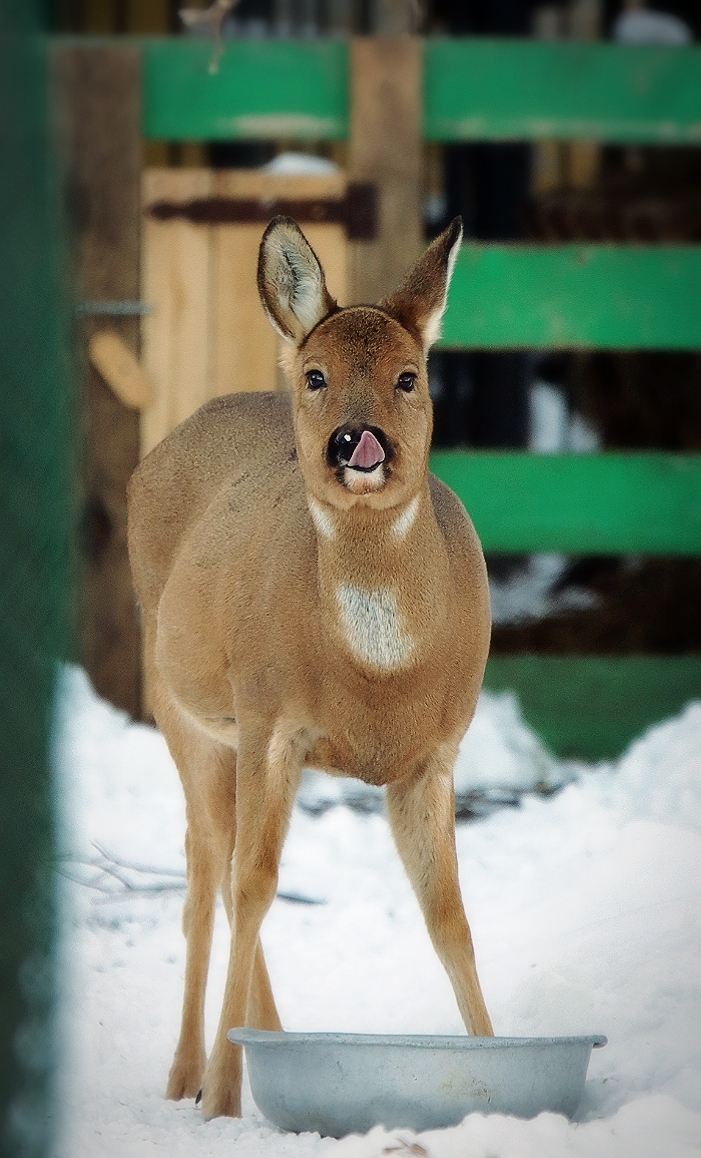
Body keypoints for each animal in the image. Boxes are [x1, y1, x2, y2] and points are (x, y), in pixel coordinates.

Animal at [128, 213, 495, 1116]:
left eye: (408, 376)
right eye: (318, 375)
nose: (354, 442)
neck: (377, 677)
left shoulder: (436, 751)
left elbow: (450, 917)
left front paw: (495, 1062)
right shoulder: (269, 717)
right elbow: (256, 884)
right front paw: (223, 1100)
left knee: (220, 862)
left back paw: (261, 1043)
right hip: (179, 704)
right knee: (209, 867)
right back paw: (191, 1073)